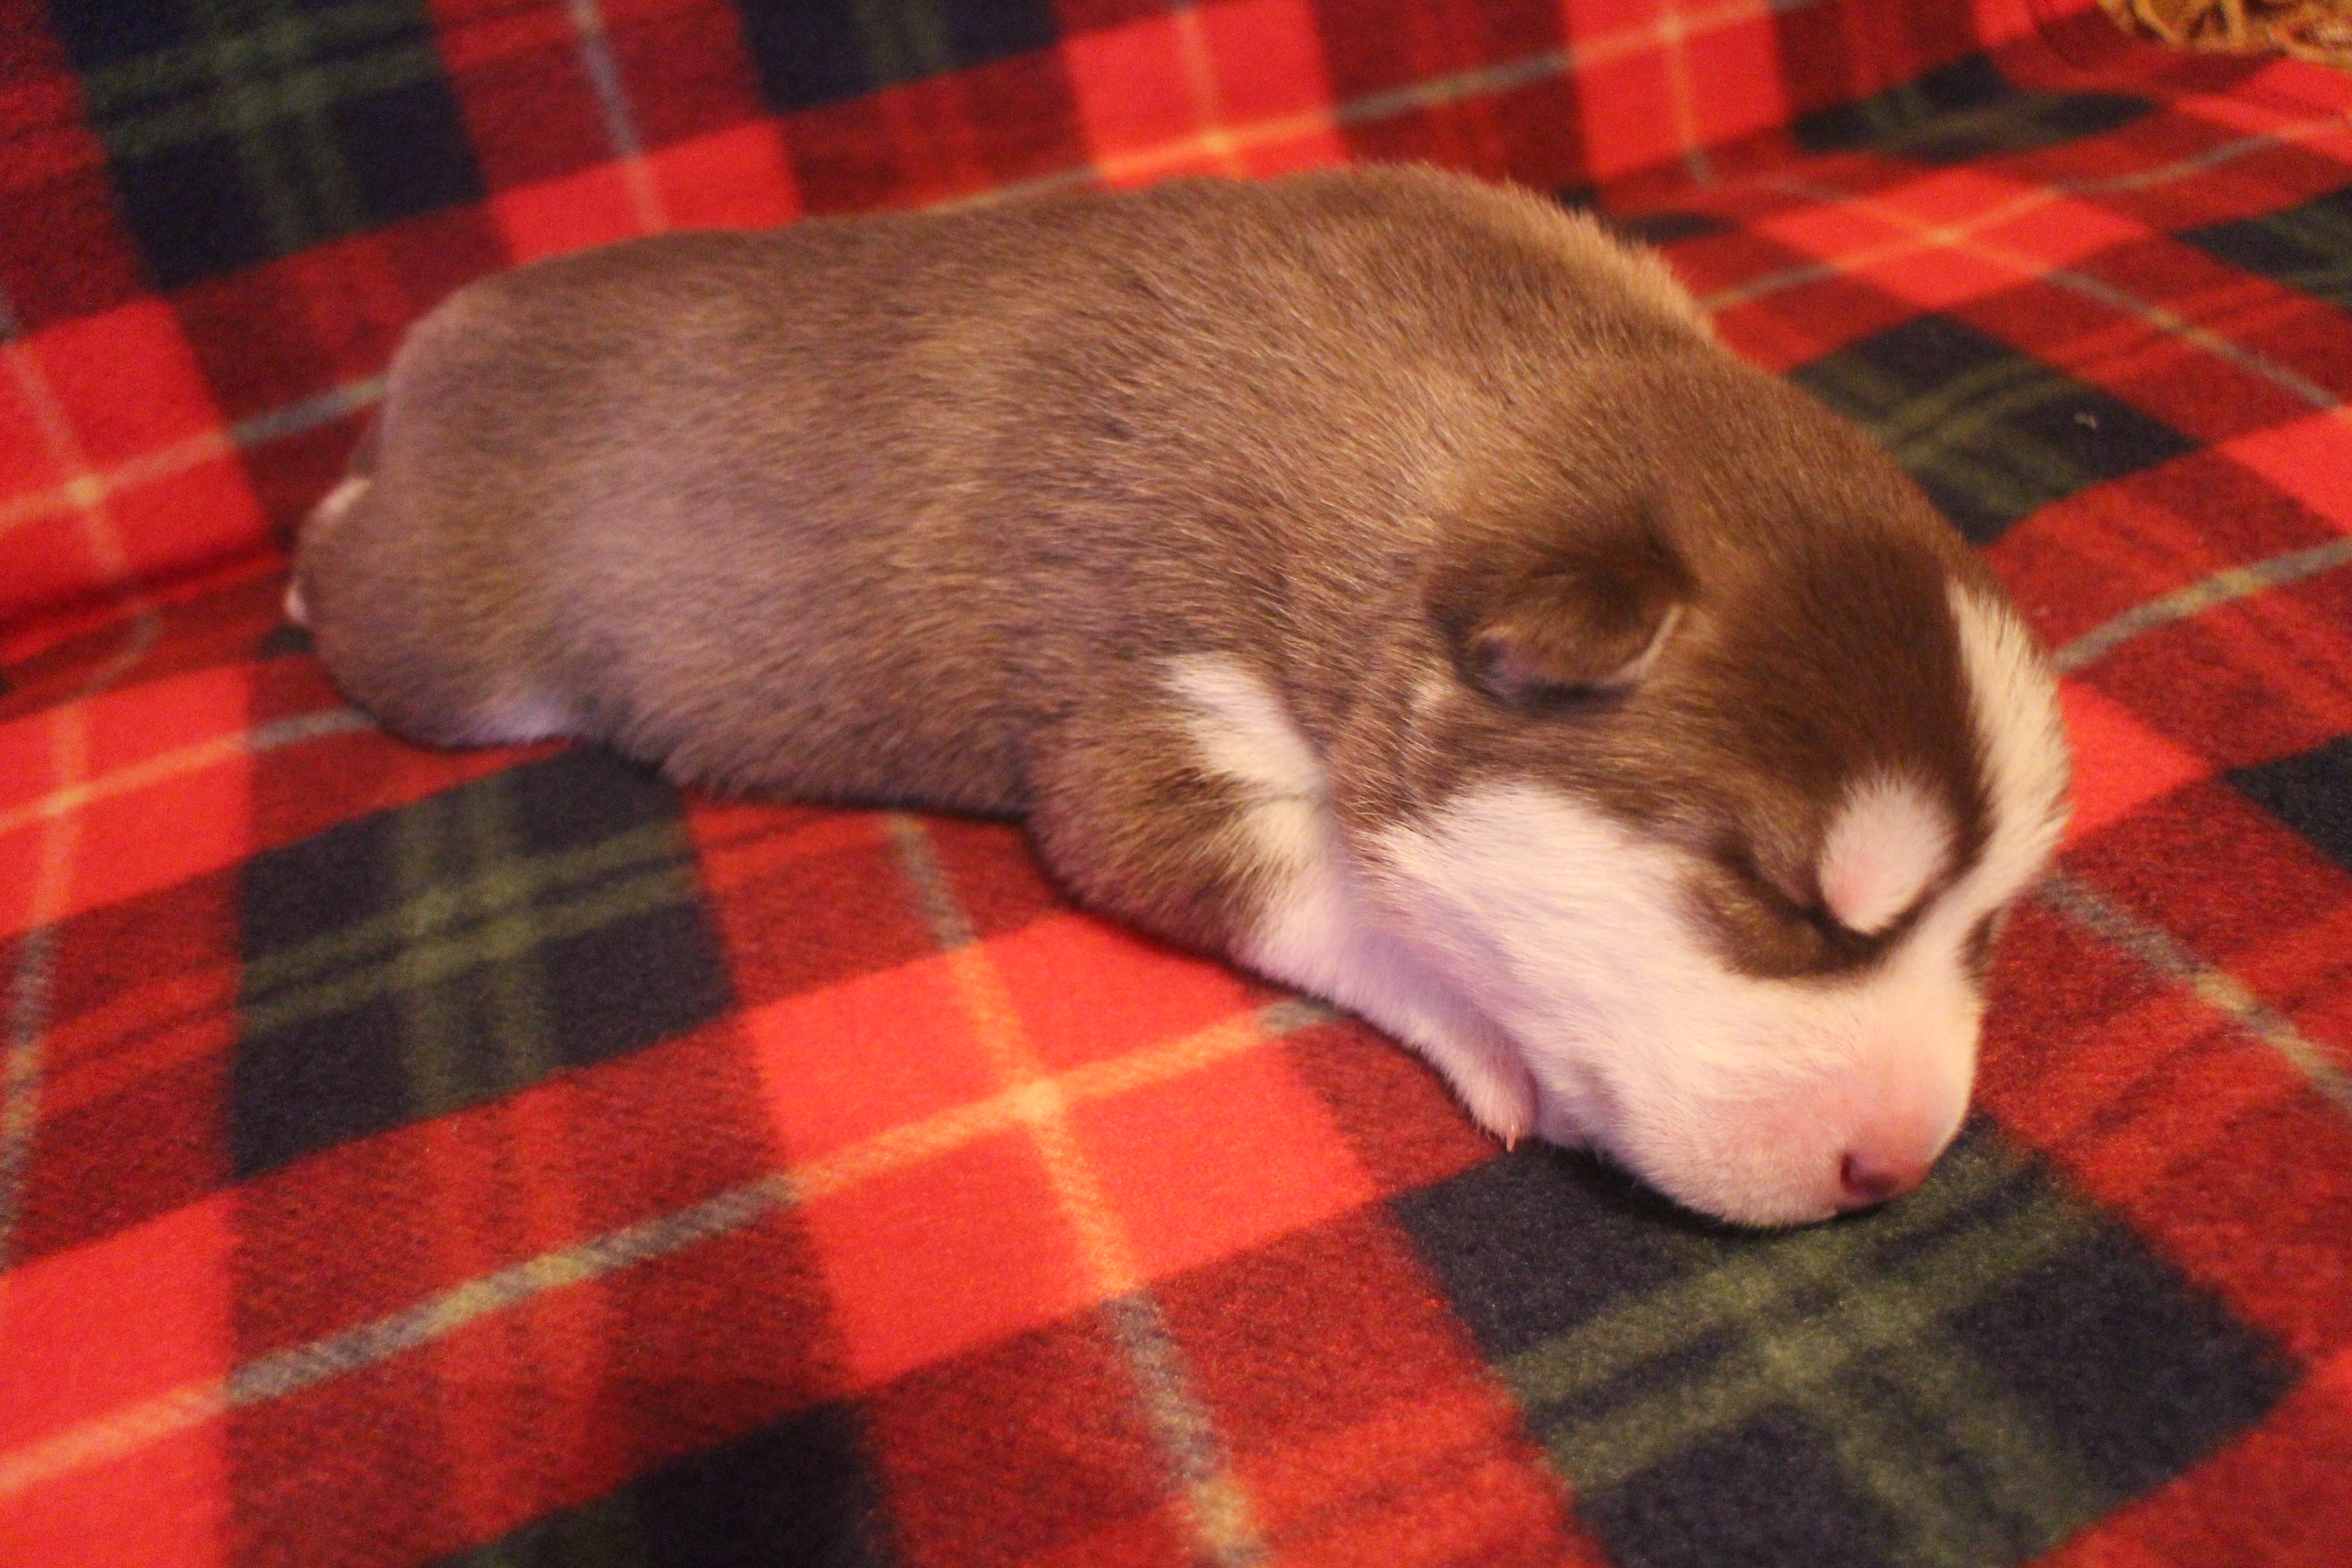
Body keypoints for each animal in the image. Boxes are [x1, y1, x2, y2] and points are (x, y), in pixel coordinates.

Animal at [290, 165, 2070, 1228]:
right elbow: (1317, 884)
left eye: (1990, 923)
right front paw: (1497, 1034)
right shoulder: (1152, 711)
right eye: (1775, 899)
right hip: (449, 643)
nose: (1896, 1165)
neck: (1485, 405)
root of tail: (452, 322)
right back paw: (309, 542)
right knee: (364, 585)